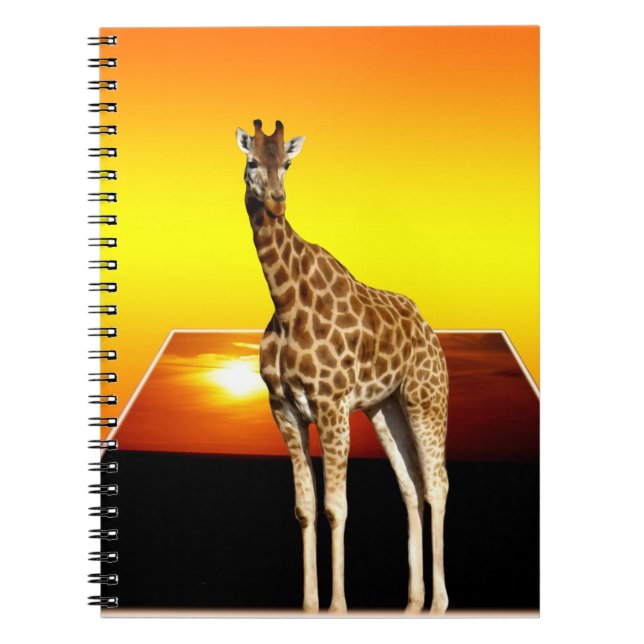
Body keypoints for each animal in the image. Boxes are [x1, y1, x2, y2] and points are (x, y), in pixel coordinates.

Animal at [236, 119, 449, 614]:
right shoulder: (285, 409)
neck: (286, 300)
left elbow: (336, 507)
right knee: (411, 484)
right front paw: (311, 604)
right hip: (385, 408)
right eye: (251, 161)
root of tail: (430, 332)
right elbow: (305, 508)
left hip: (426, 400)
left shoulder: (331, 405)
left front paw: (336, 606)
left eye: (287, 163)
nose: (276, 201)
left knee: (437, 483)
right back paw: (414, 600)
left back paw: (439, 602)